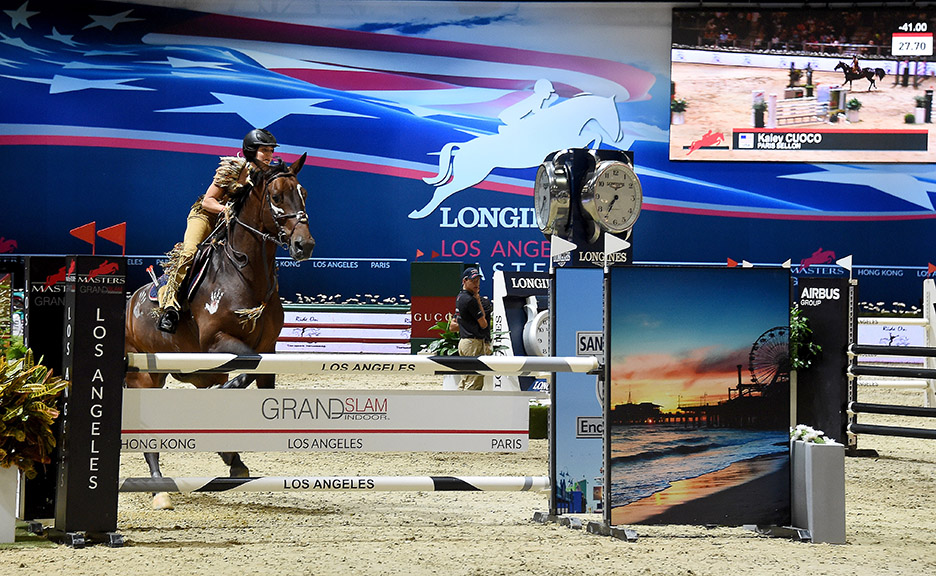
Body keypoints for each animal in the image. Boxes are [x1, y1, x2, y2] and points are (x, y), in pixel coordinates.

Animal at [125, 153, 314, 509]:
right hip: (144, 373)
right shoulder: (216, 343)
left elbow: (256, 378)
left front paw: (232, 454)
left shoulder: (268, 346)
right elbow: (247, 369)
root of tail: (132, 303)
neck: (244, 273)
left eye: (304, 194)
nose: (304, 244)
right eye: (277, 196)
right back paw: (159, 489)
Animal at [410, 94, 623, 219]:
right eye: (612, 113)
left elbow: (594, 136)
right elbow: (593, 136)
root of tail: (461, 147)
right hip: (470, 176)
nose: (618, 136)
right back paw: (420, 214)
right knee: (442, 191)